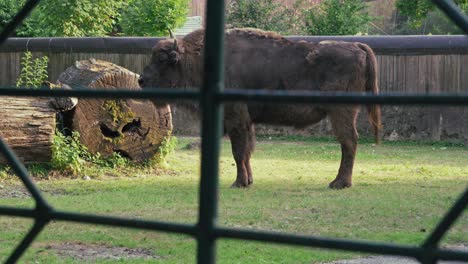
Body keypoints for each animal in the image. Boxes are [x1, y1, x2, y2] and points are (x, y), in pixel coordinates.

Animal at [139, 28, 380, 190]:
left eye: (162, 59)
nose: (141, 80)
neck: (196, 59)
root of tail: (358, 47)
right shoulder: (246, 122)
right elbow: (246, 151)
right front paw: (248, 180)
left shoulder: (235, 117)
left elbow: (238, 150)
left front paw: (239, 183)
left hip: (341, 112)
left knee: (349, 141)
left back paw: (339, 182)